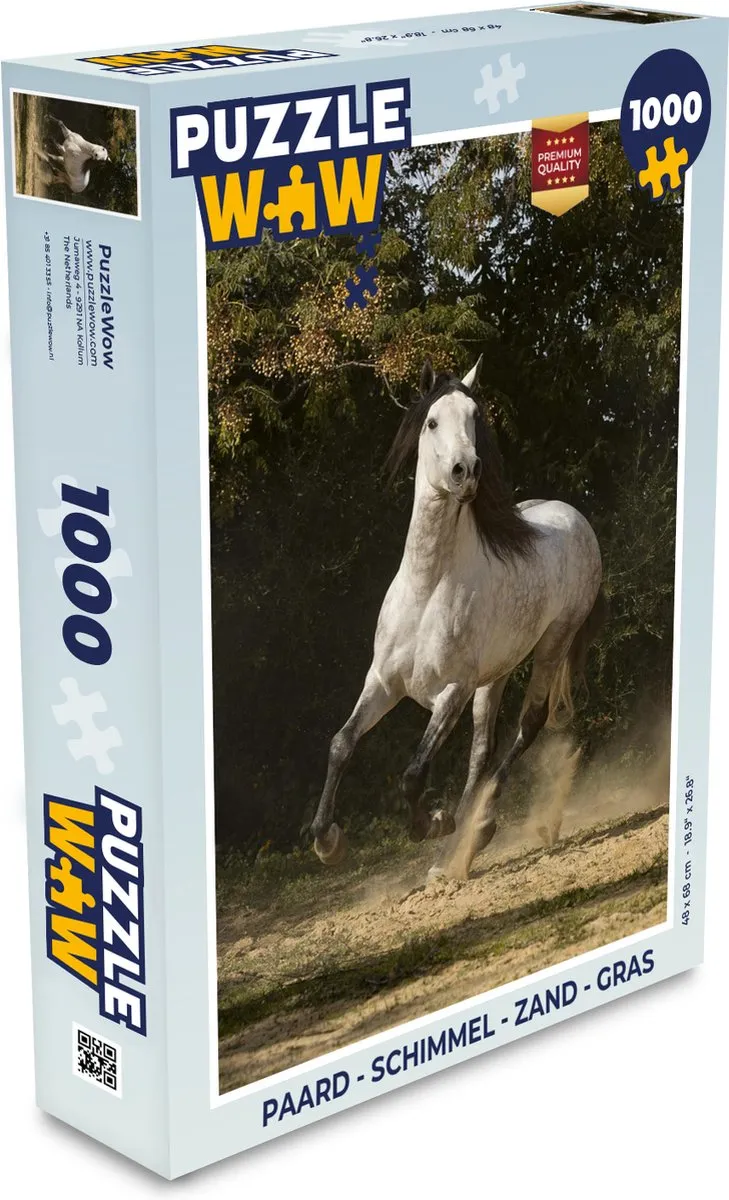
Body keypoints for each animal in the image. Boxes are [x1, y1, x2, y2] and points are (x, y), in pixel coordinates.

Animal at [309, 357, 605, 878]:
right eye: (431, 422)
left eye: (474, 418)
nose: (465, 470)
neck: (427, 590)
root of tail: (576, 517)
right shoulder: (382, 682)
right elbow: (341, 743)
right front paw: (329, 843)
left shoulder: (452, 691)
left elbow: (413, 773)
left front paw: (432, 823)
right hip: (498, 672)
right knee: (482, 749)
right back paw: (453, 854)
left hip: (553, 643)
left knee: (528, 725)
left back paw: (473, 832)